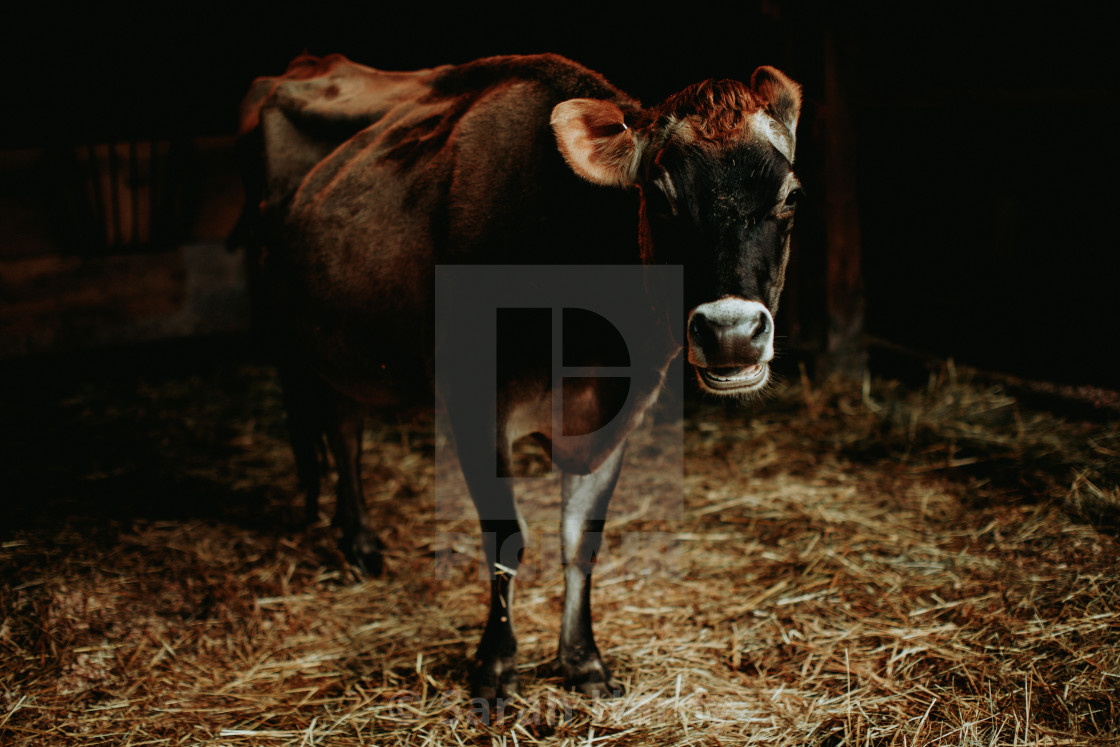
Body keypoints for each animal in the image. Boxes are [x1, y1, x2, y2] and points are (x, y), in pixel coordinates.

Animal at [236, 52, 801, 703]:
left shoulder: (616, 415)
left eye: (790, 197)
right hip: (290, 329)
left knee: (344, 422)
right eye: (660, 199)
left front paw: (581, 659)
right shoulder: (473, 399)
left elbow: (581, 539)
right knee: (335, 429)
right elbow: (506, 535)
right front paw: (495, 663)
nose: (731, 332)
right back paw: (356, 541)